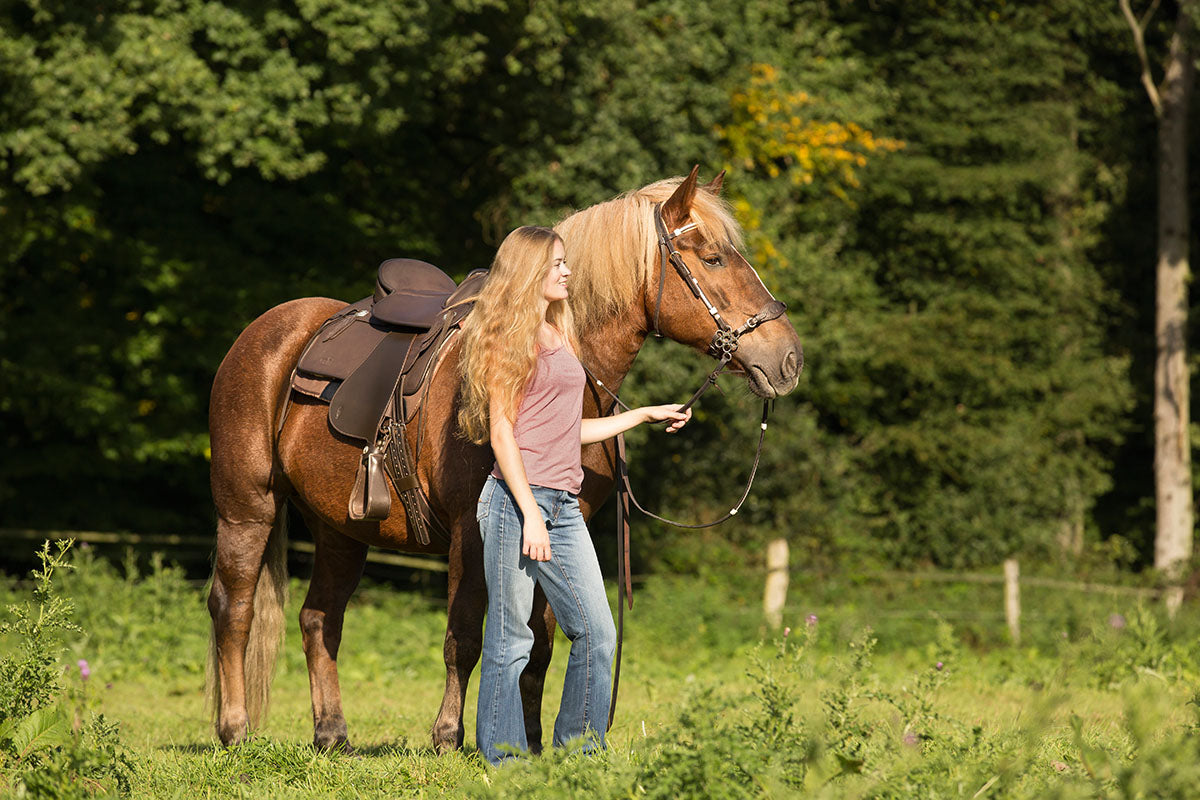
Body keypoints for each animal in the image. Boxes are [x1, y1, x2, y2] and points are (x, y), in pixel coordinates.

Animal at [206, 165, 806, 753]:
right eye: (713, 257)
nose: (789, 358)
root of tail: (267, 331)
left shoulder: (557, 530)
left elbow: (542, 645)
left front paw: (534, 743)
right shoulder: (471, 536)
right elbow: (465, 637)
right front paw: (448, 737)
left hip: (341, 530)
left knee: (319, 619)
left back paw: (331, 734)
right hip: (248, 510)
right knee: (232, 607)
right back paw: (234, 730)